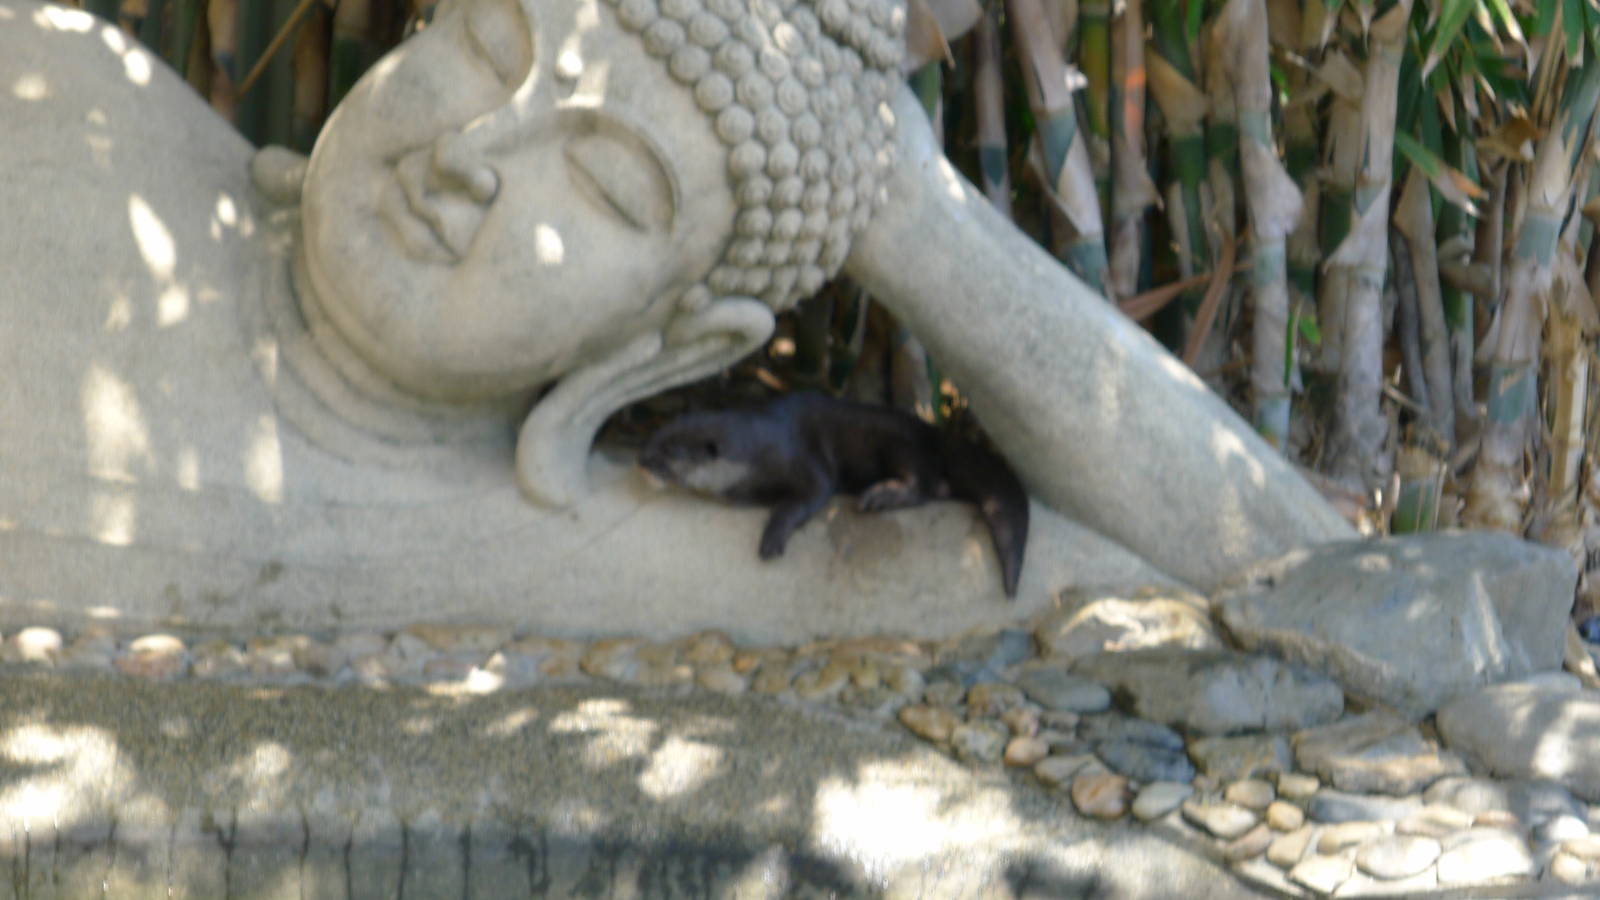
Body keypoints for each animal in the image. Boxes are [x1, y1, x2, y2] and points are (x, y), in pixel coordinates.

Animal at [639, 392, 1030, 597]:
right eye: (654, 437)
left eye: (670, 452)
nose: (641, 459)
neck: (756, 452)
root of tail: (935, 432)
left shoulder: (800, 458)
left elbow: (815, 491)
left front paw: (772, 538)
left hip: (902, 444)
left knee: (930, 484)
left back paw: (881, 496)